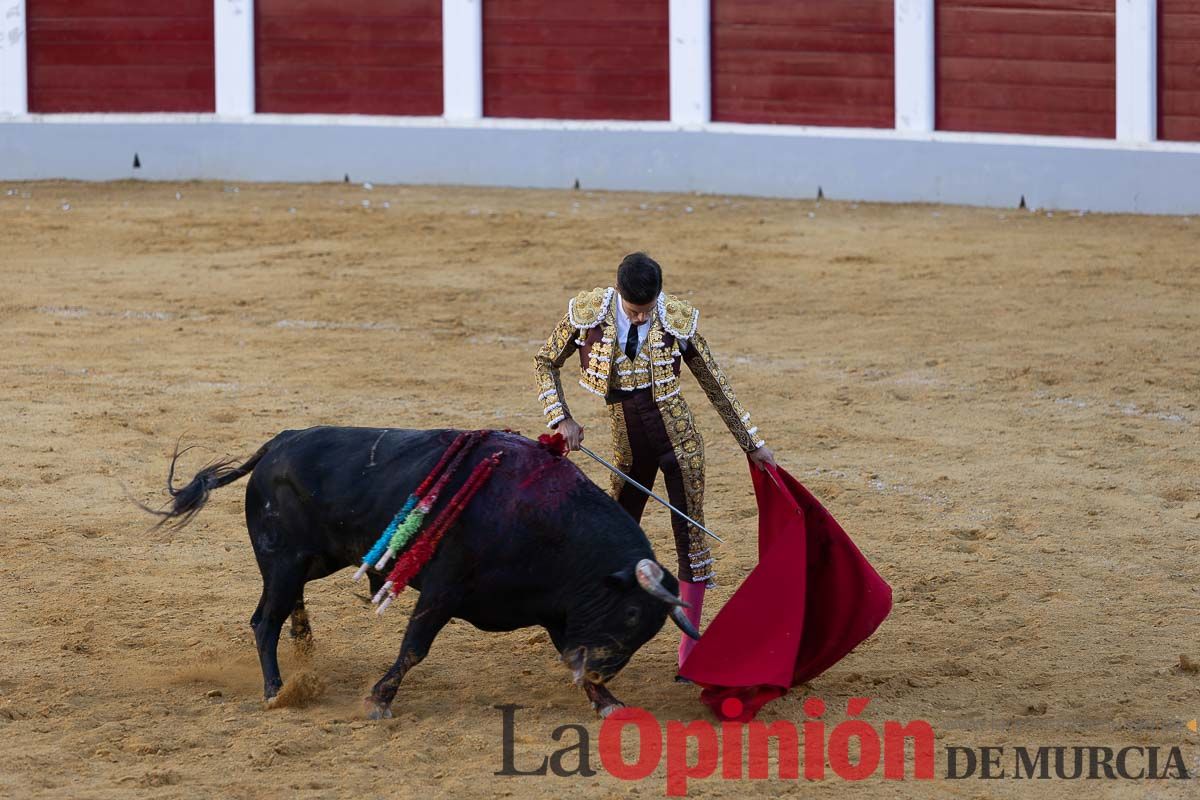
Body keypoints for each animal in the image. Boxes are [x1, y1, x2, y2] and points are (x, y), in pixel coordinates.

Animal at [146, 429, 700, 714]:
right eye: (632, 615)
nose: (606, 671)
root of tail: (278, 443)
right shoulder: (443, 590)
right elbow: (414, 647)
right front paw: (378, 699)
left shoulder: (554, 608)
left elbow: (569, 655)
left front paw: (606, 699)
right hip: (281, 560)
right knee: (264, 620)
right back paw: (277, 691)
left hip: (312, 559)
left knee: (288, 607)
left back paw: (304, 650)